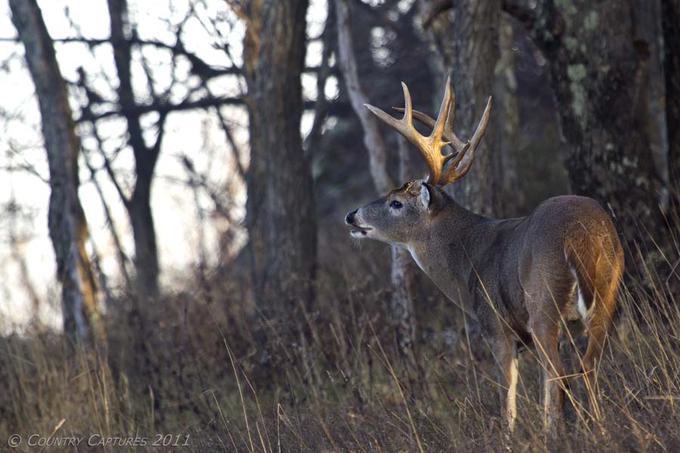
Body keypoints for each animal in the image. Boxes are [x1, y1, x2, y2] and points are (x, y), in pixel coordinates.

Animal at [344, 77, 624, 432]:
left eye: (396, 203)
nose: (351, 215)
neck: (468, 259)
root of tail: (582, 237)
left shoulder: (495, 325)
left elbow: (508, 398)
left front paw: (511, 436)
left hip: (543, 302)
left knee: (560, 374)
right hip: (607, 294)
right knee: (588, 367)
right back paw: (599, 430)